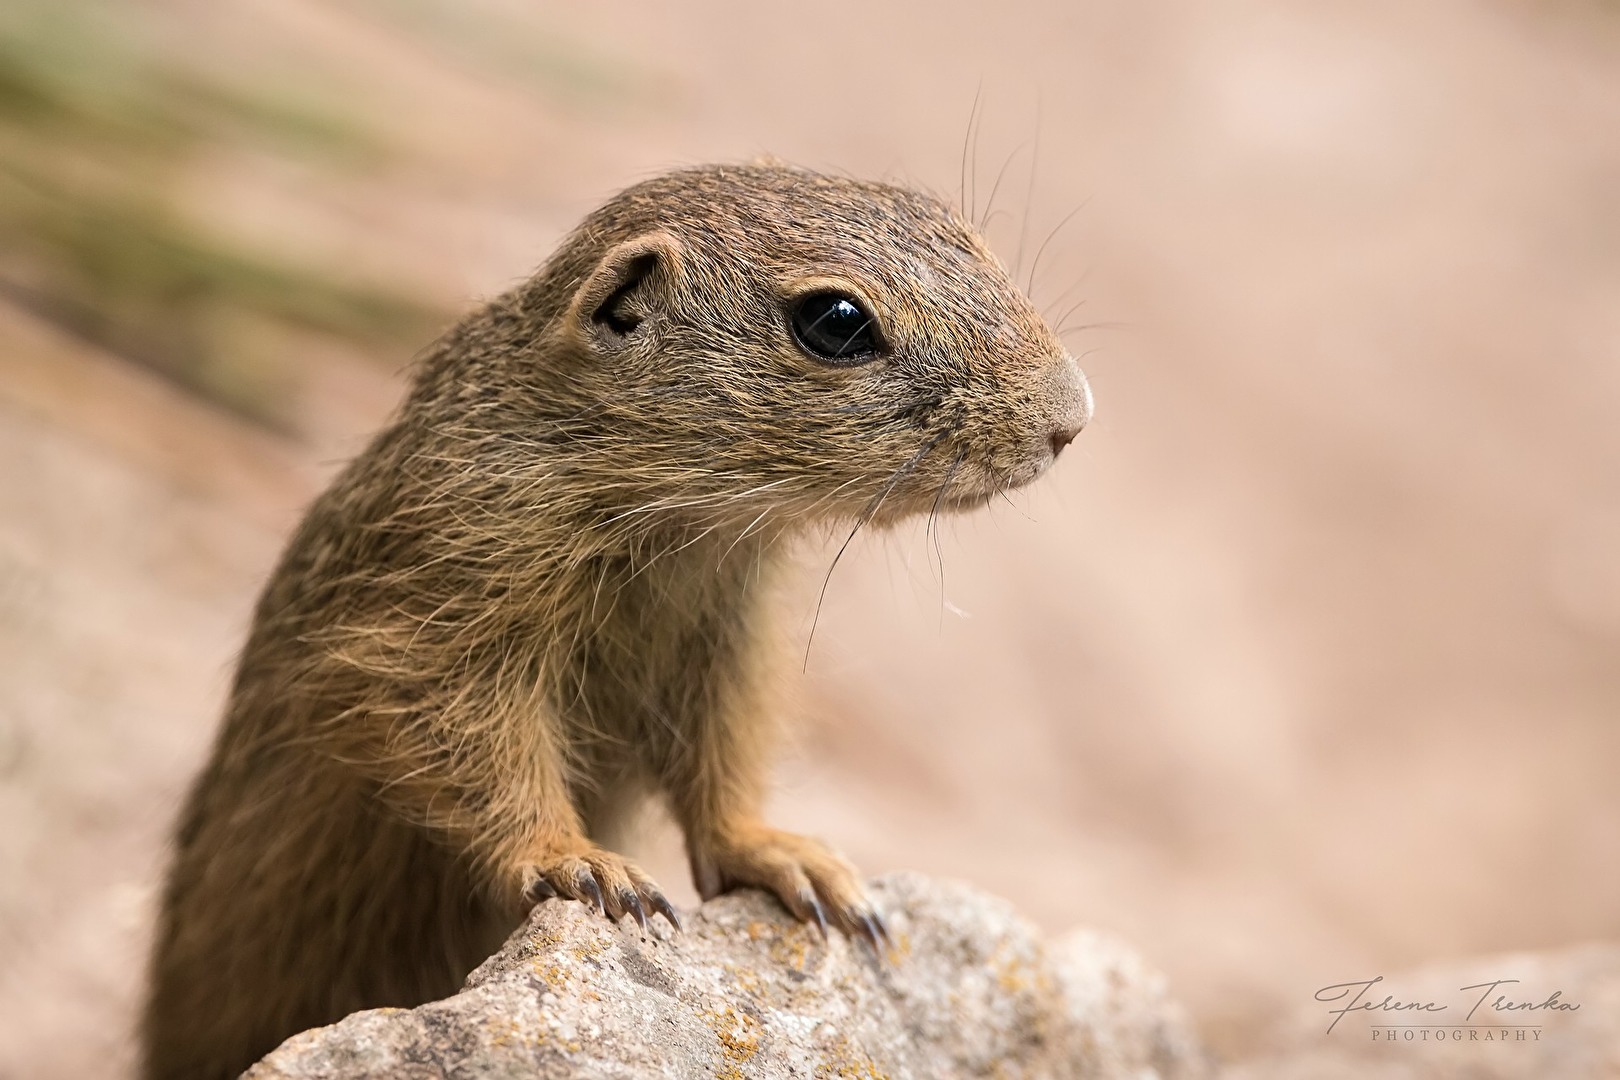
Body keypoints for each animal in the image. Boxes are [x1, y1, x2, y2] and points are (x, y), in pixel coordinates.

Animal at [145, 162, 1095, 1080]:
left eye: (959, 229)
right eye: (834, 321)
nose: (1071, 417)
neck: (672, 531)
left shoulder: (729, 650)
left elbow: (724, 774)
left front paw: (798, 863)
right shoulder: (437, 629)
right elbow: (481, 756)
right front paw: (586, 866)